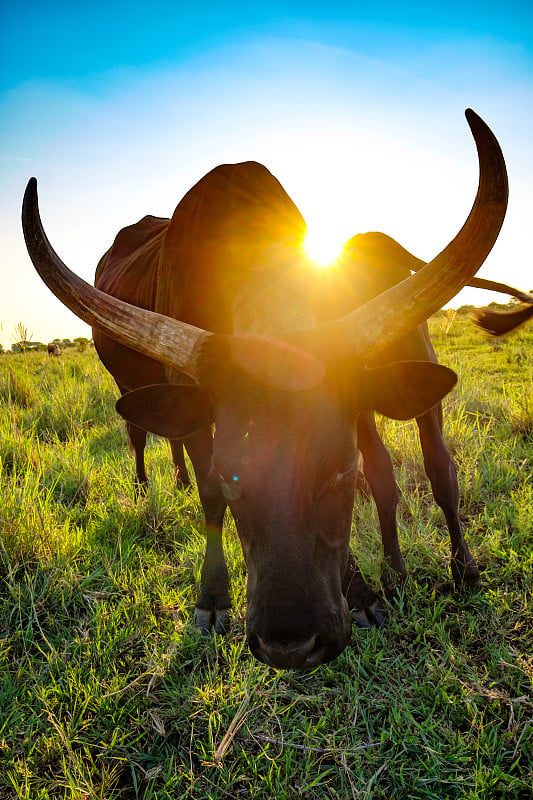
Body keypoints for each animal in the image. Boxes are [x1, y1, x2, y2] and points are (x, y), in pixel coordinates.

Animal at [22, 109, 508, 664]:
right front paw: (212, 599)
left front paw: (362, 592)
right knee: (140, 435)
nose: (290, 647)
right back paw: (148, 486)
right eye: (233, 475)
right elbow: (209, 493)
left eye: (344, 471)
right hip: (128, 381)